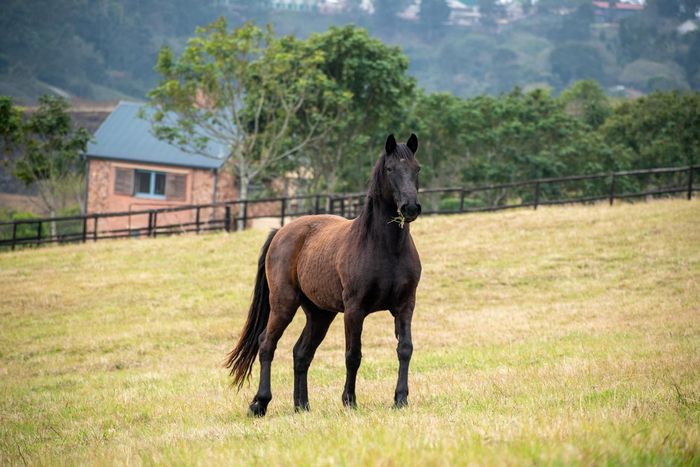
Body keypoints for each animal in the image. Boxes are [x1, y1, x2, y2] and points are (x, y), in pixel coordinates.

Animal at [225, 133, 422, 416]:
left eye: (417, 169)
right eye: (390, 169)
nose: (410, 208)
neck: (384, 247)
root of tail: (281, 232)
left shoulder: (405, 306)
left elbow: (405, 349)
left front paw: (400, 399)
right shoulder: (354, 310)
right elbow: (353, 355)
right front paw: (350, 401)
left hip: (320, 314)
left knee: (301, 353)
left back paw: (302, 406)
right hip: (284, 304)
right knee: (266, 344)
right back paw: (260, 403)